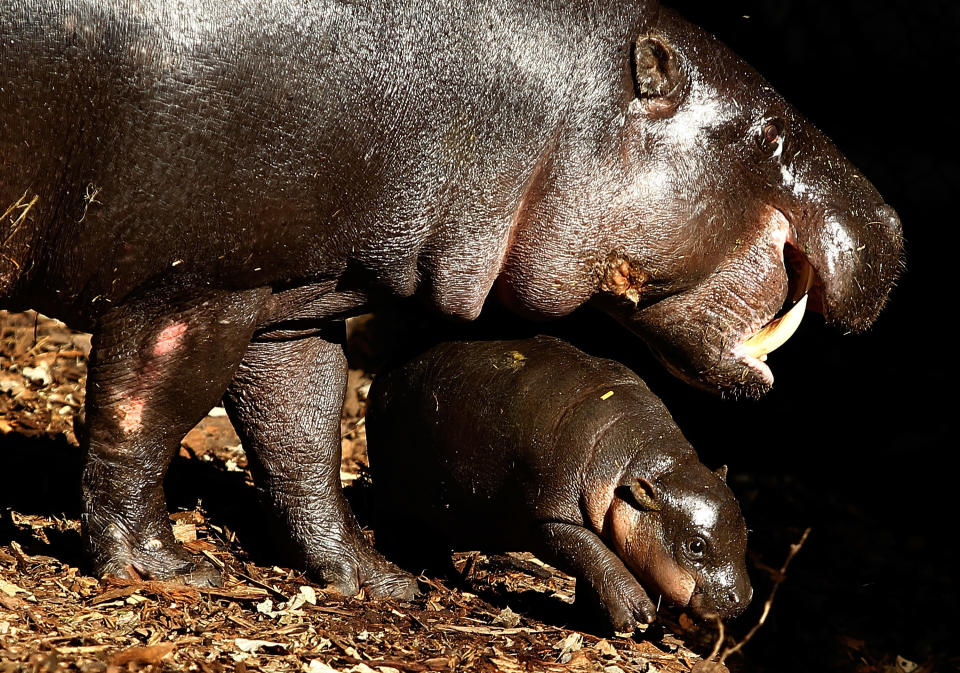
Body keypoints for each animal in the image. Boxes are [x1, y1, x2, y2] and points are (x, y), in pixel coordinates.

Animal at [0, 1, 900, 600]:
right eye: (763, 130)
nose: (895, 228)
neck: (547, 107)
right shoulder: (192, 288)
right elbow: (141, 421)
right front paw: (164, 569)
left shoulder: (291, 300)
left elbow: (303, 440)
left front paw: (376, 581)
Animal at [366, 336, 752, 632]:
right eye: (695, 546)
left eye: (746, 534)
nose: (743, 599)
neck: (634, 465)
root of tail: (384, 371)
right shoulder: (551, 520)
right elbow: (594, 555)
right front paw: (636, 616)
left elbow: (595, 564)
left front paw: (593, 618)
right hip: (393, 483)